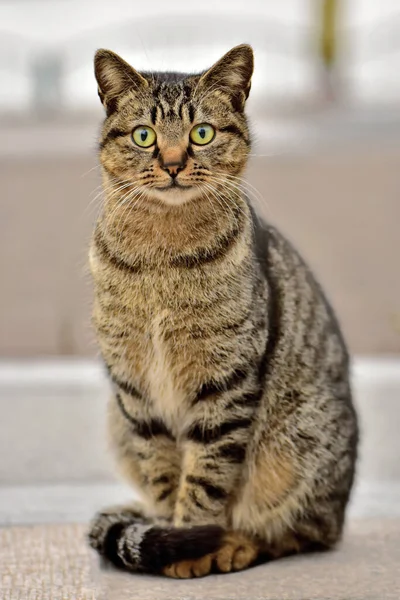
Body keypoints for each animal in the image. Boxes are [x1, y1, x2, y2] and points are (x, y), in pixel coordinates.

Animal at [86, 44, 356, 580]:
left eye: (202, 133)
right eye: (144, 135)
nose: (172, 163)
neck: (161, 254)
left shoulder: (225, 383)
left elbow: (205, 476)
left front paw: (189, 543)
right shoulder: (134, 389)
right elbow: (164, 473)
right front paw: (168, 534)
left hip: (298, 447)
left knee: (302, 532)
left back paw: (236, 544)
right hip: (116, 418)